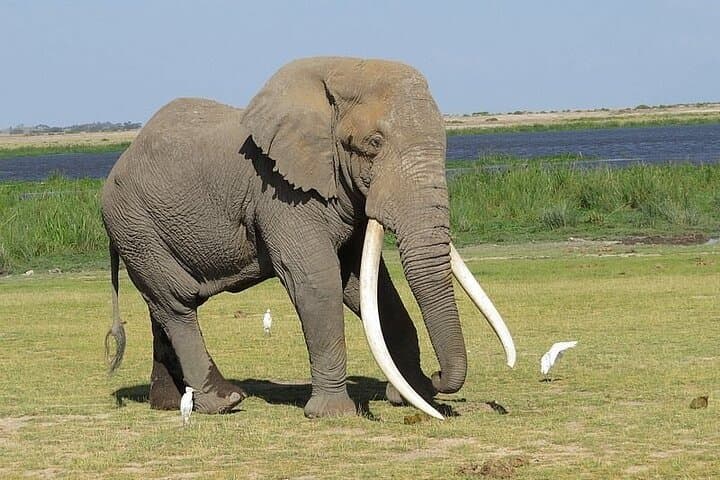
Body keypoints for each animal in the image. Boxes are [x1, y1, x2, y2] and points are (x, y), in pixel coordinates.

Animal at [102, 56, 516, 419]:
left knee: (160, 307)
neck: (339, 73)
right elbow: (317, 280)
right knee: (177, 303)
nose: (438, 377)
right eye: (374, 143)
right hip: (135, 225)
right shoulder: (280, 192)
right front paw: (334, 414)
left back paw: (168, 404)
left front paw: (414, 396)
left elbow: (367, 285)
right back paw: (225, 402)